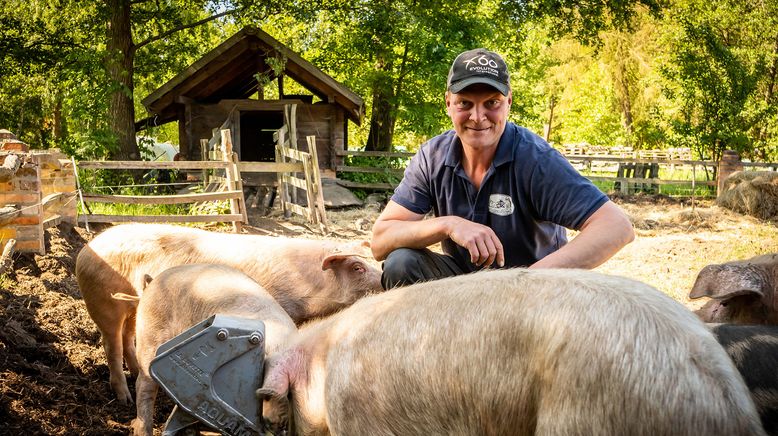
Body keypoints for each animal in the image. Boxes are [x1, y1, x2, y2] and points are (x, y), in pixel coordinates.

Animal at [76, 225, 382, 406]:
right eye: (357, 267)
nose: (384, 280)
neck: (312, 284)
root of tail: (87, 247)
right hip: (103, 302)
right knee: (111, 344)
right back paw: (125, 399)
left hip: (132, 308)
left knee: (128, 336)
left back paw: (135, 371)